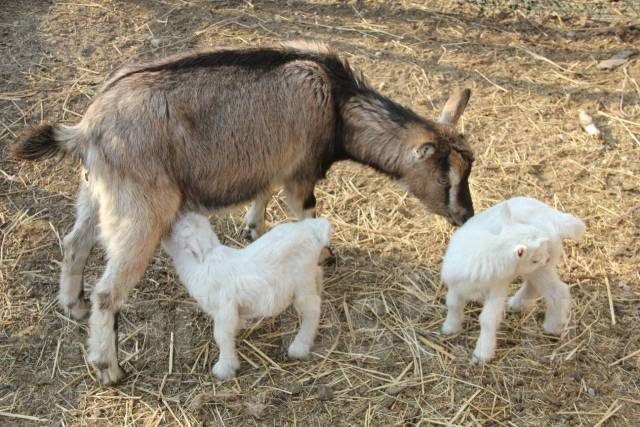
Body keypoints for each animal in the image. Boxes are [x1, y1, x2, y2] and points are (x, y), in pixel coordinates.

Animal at [11, 42, 476, 384]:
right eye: (446, 177)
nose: (466, 217)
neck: (335, 101)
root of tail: (86, 129)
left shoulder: (275, 161)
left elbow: (263, 190)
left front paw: (254, 226)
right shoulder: (301, 172)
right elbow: (306, 211)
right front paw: (323, 255)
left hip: (97, 193)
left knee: (74, 243)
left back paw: (72, 306)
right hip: (140, 212)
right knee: (108, 291)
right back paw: (109, 367)